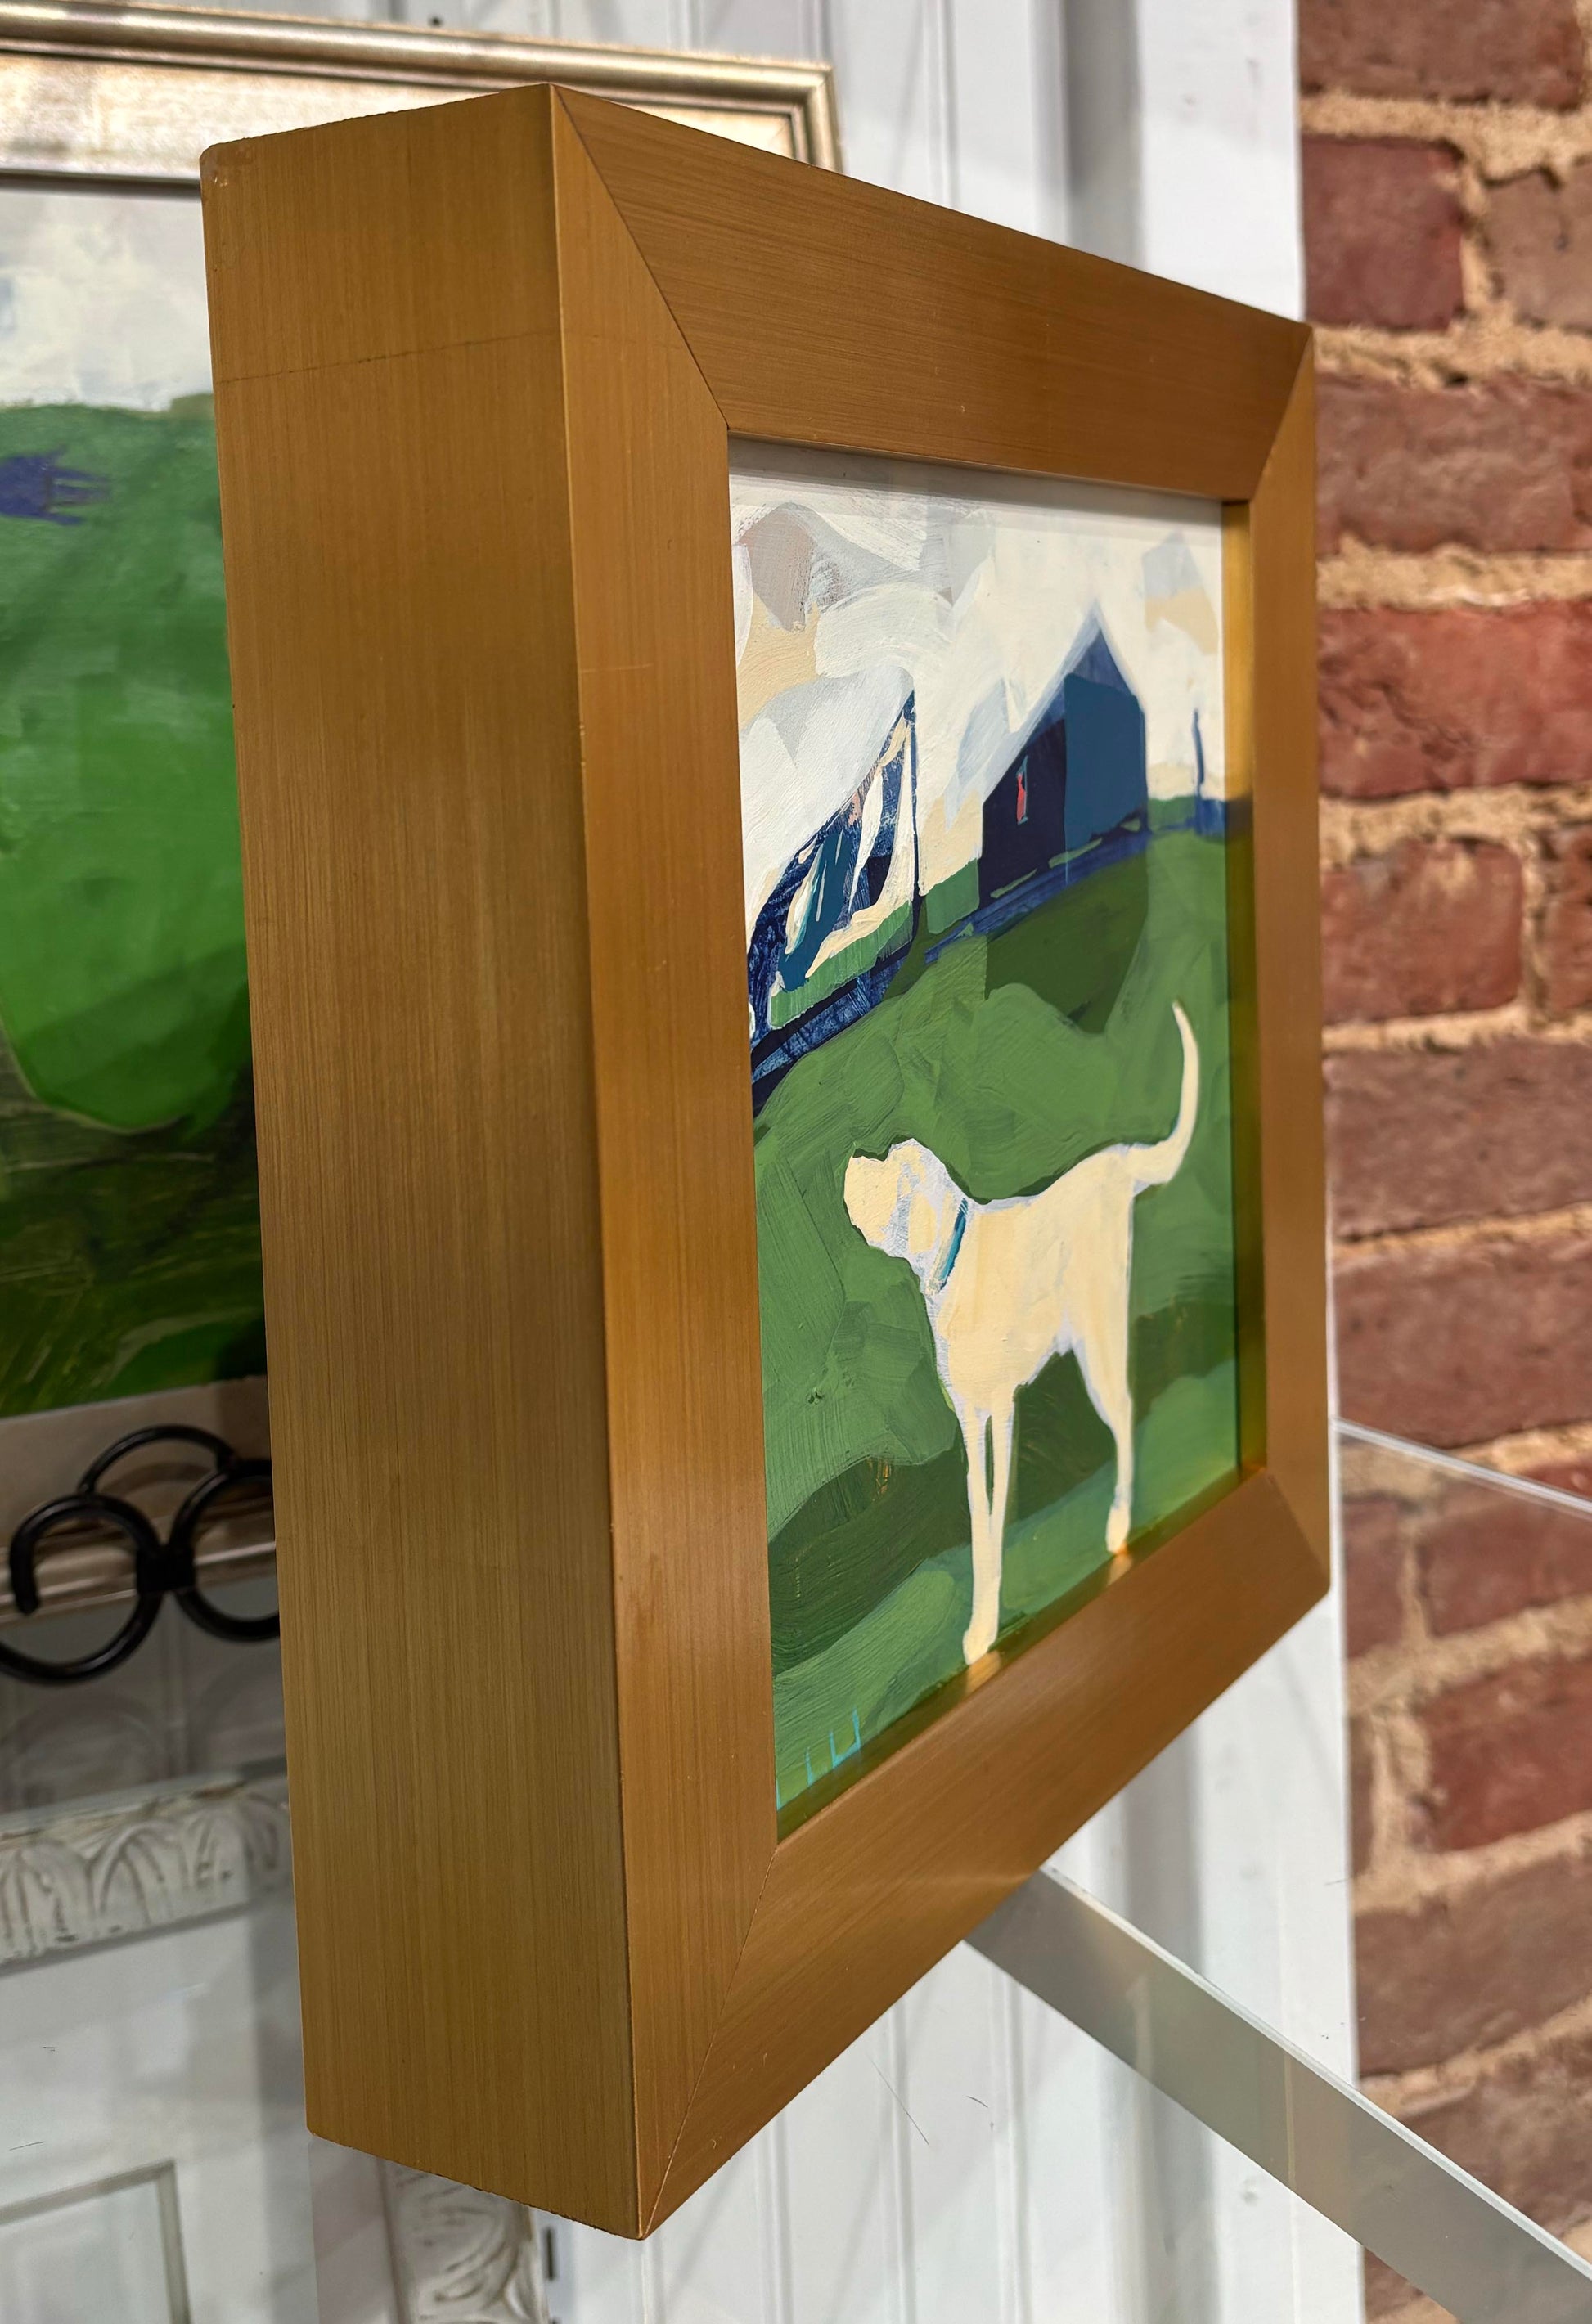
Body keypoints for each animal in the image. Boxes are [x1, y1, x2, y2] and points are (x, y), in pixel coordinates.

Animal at [843, 1004, 1198, 1667]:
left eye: (891, 1167)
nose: (850, 1156)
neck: (953, 1263)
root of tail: (1116, 1160)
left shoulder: (1002, 1411)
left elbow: (995, 1509)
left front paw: (984, 1626)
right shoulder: (970, 1419)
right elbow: (978, 1513)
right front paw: (980, 1626)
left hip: (1097, 1343)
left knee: (1127, 1413)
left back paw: (1120, 1522)